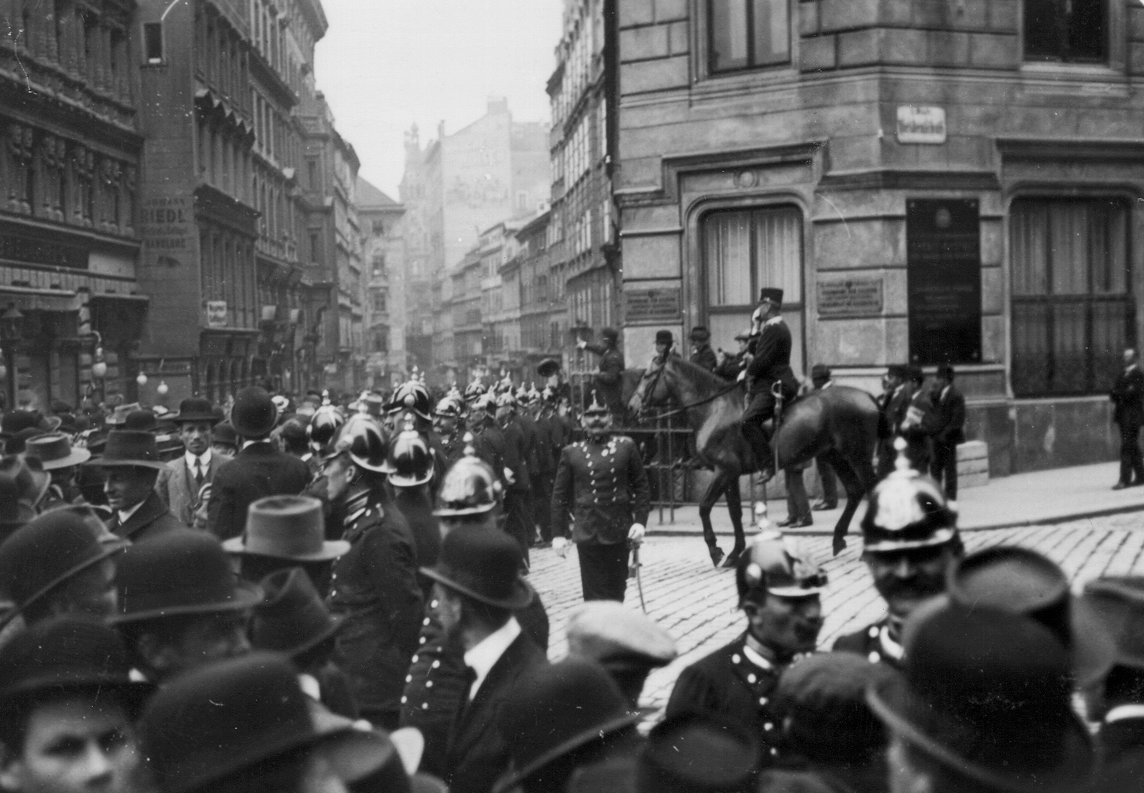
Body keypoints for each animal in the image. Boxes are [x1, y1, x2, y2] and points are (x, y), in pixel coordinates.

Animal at [631, 354, 878, 560]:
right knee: (855, 491)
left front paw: (715, 550)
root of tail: (868, 396)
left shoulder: (724, 471)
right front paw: (735, 552)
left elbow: (704, 507)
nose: (632, 407)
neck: (714, 409)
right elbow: (734, 512)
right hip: (836, 456)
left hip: (858, 456)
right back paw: (838, 539)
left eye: (647, 375)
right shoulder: (729, 475)